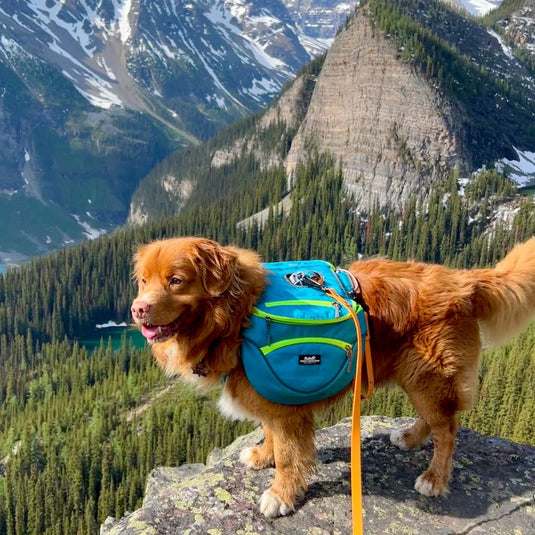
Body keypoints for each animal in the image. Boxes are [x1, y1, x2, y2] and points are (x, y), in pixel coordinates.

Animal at [132, 237, 535, 516]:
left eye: (176, 280)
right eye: (143, 281)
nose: (137, 309)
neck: (237, 315)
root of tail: (464, 279)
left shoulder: (287, 408)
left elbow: (290, 456)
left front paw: (281, 494)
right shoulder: (271, 394)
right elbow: (269, 432)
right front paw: (264, 455)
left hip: (429, 377)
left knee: (448, 429)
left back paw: (434, 478)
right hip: (417, 376)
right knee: (437, 420)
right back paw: (409, 436)